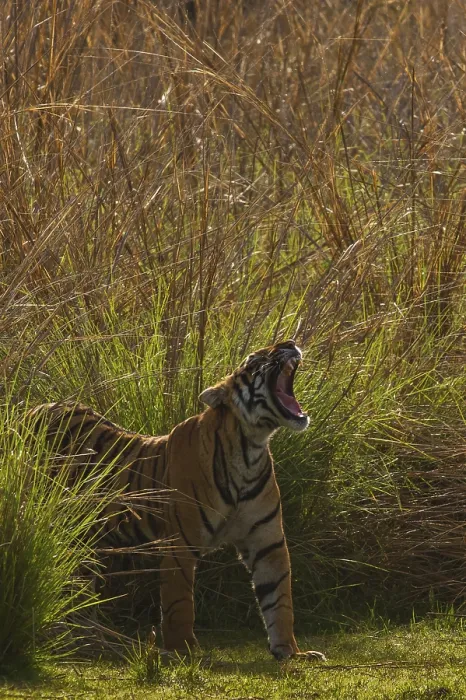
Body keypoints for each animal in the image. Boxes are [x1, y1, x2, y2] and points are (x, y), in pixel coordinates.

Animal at [27, 339, 326, 662]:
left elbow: (279, 600)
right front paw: (183, 650)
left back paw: (88, 638)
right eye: (255, 358)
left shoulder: (268, 543)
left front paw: (291, 651)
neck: (250, 449)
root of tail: (36, 407)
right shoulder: (180, 543)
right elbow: (179, 602)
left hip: (86, 538)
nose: (289, 343)